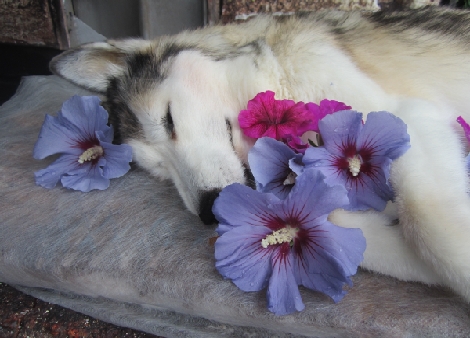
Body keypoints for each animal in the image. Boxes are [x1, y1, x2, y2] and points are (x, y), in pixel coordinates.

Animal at [50, 7, 470, 302]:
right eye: (159, 170)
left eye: (168, 119)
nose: (208, 209)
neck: (277, 78)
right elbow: (355, 236)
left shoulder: (407, 117)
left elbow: (433, 232)